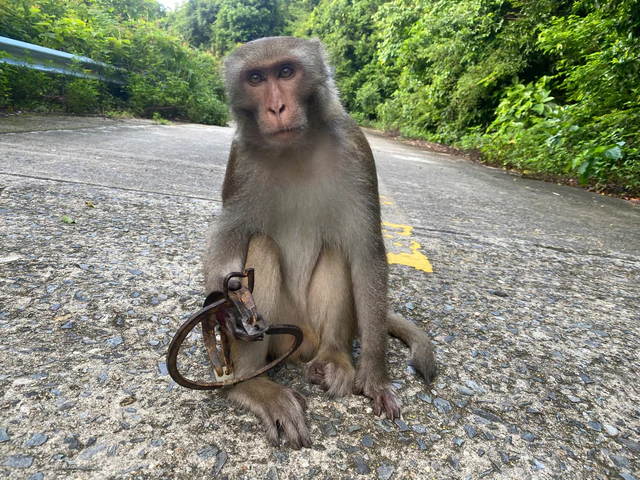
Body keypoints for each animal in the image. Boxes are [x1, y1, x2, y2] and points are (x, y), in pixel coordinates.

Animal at [202, 37, 436, 449]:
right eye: (255, 78)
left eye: (286, 72)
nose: (276, 107)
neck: (294, 148)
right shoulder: (239, 162)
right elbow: (231, 234)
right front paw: (222, 299)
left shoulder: (356, 150)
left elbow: (366, 254)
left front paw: (375, 376)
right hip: (280, 331)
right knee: (262, 245)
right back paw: (253, 387)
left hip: (313, 329)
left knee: (338, 253)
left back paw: (334, 359)